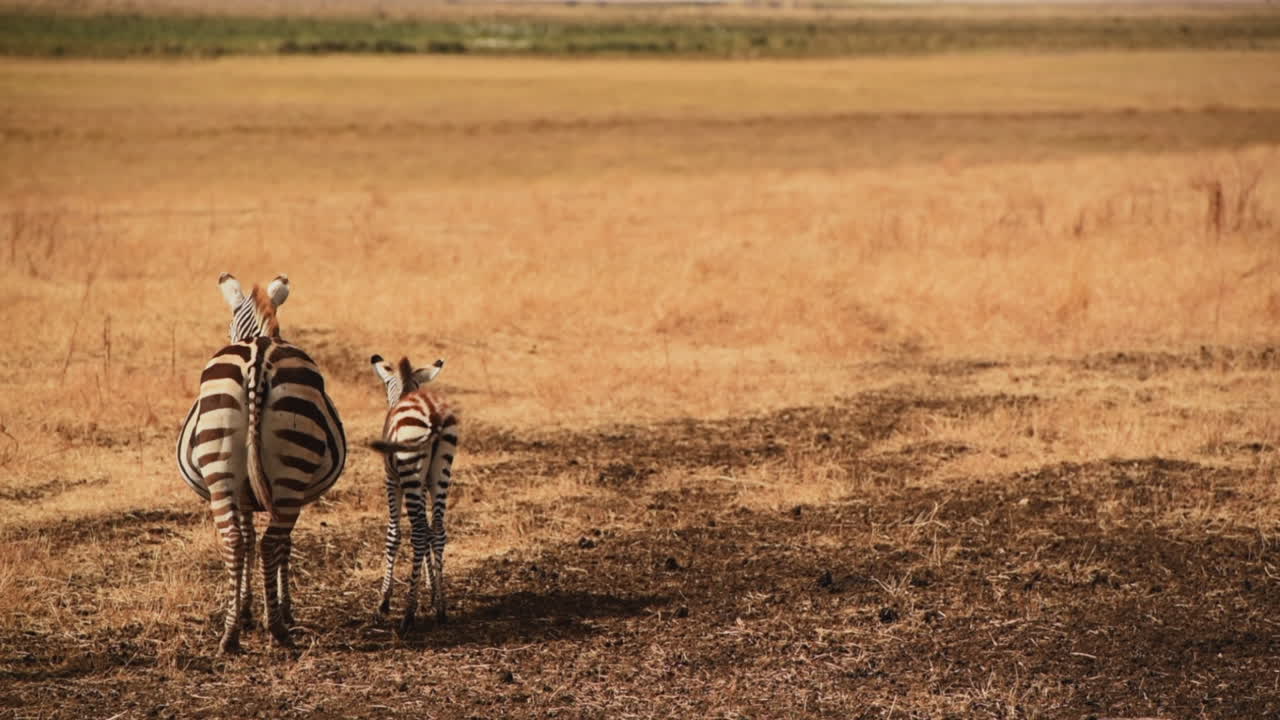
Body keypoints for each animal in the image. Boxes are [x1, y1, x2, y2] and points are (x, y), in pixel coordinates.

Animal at [175, 272, 346, 653]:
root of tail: (257, 357)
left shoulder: (243, 495)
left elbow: (249, 539)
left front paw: (246, 610)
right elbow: (278, 543)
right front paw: (277, 610)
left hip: (223, 468)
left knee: (234, 541)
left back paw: (234, 635)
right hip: (288, 473)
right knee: (269, 542)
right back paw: (275, 629)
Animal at [368, 354, 458, 633]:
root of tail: (432, 414)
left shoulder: (392, 480)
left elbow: (394, 535)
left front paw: (384, 601)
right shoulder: (425, 483)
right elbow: (430, 530)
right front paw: (432, 592)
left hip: (409, 471)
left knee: (417, 533)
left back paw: (408, 614)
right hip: (440, 473)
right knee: (438, 529)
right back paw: (442, 610)